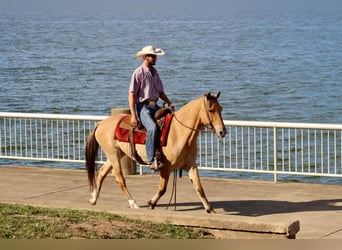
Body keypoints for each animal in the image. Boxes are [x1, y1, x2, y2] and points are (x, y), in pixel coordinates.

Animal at [84, 92, 226, 213]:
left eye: (221, 108)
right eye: (211, 110)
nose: (222, 132)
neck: (178, 132)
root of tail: (101, 123)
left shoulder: (190, 165)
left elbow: (199, 187)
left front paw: (209, 208)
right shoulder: (165, 167)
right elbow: (162, 189)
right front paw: (151, 203)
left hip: (116, 154)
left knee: (101, 173)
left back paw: (93, 199)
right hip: (113, 155)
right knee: (120, 179)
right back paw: (133, 203)